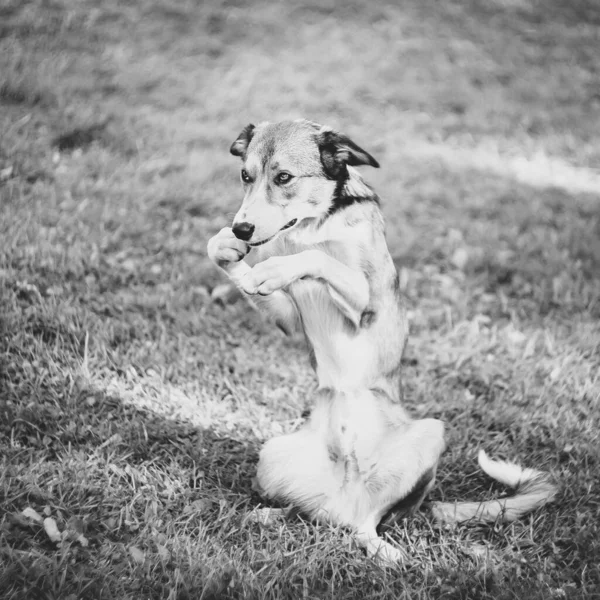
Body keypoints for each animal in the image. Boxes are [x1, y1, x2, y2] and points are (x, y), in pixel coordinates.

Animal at [207, 118, 556, 568]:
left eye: (283, 177)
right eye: (245, 176)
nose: (242, 229)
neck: (312, 226)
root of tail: (346, 494)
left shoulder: (366, 305)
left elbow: (318, 260)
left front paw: (279, 266)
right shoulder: (287, 317)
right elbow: (235, 260)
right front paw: (227, 248)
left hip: (429, 437)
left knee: (365, 524)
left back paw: (382, 548)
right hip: (272, 454)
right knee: (315, 514)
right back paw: (267, 515)